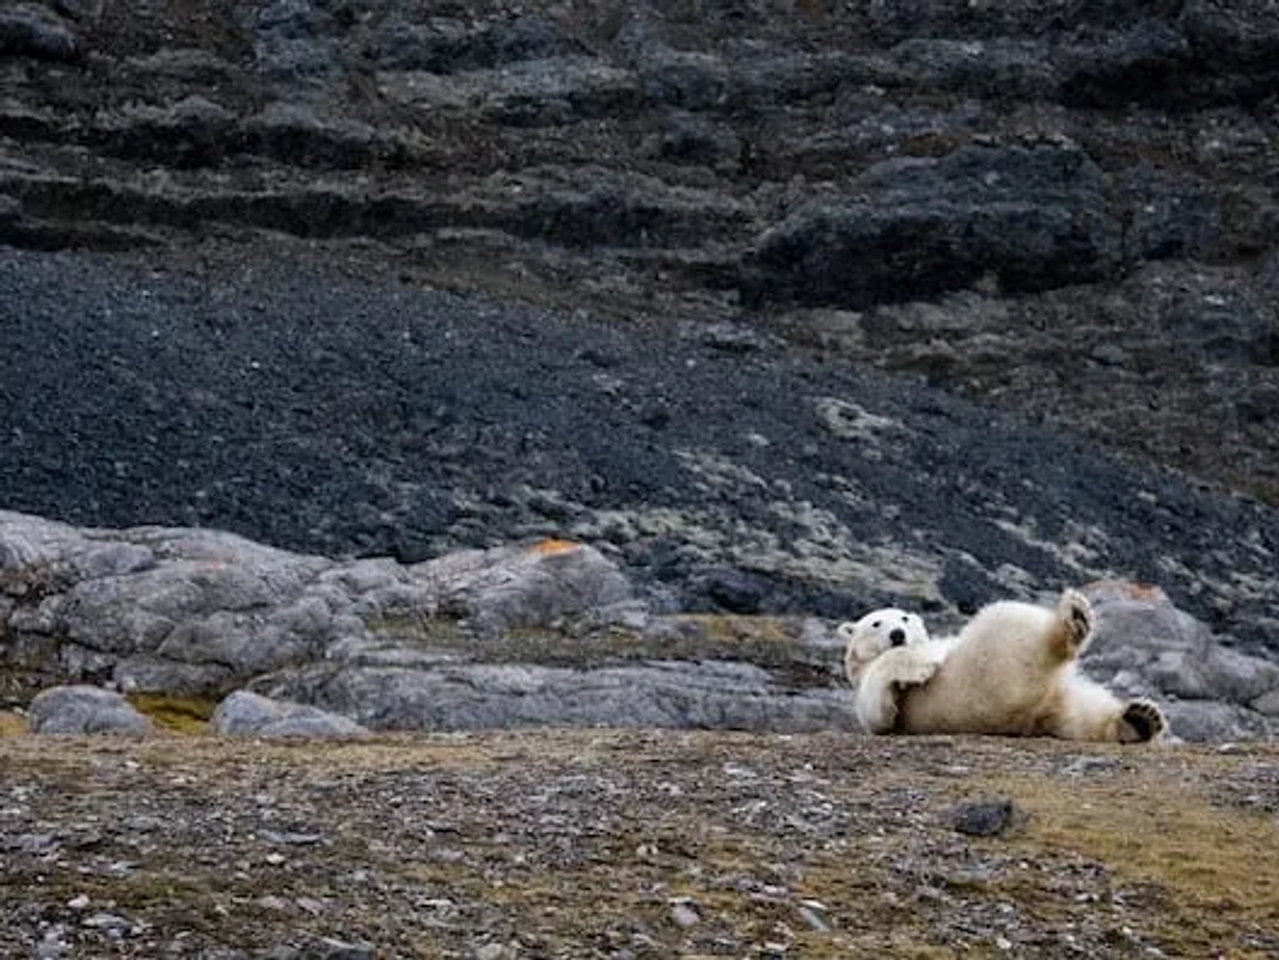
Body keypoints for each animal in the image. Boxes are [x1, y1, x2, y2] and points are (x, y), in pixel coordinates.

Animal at [839, 589, 1167, 743]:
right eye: (876, 623)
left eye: (904, 618)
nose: (898, 634)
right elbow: (880, 709)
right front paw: (923, 664)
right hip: (992, 662)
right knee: (1014, 621)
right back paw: (1074, 618)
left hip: (1053, 701)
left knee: (1083, 714)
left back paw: (1140, 719)